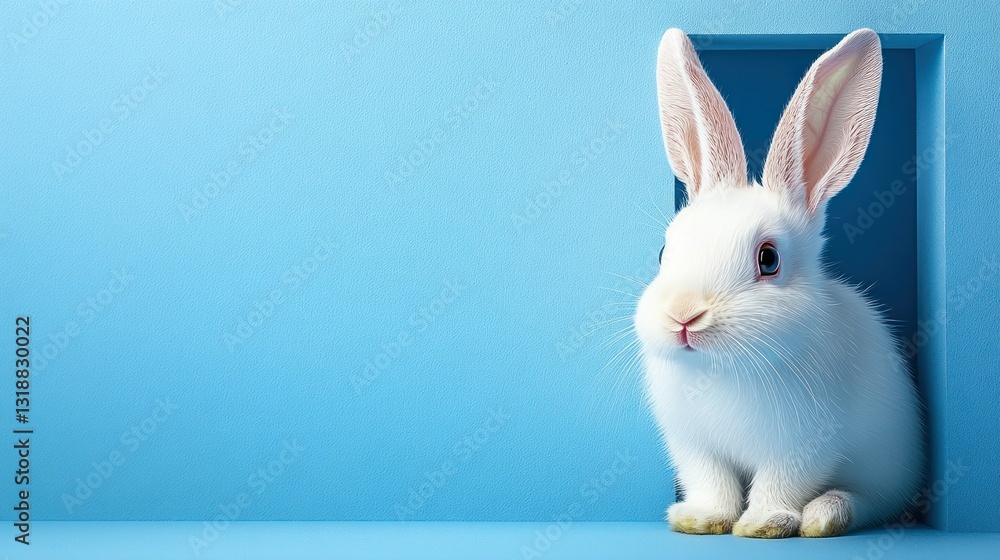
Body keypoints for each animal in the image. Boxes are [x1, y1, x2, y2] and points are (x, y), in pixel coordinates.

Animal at [634, 28, 924, 538]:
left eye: (768, 259)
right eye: (665, 253)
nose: (683, 316)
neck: (721, 369)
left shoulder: (805, 444)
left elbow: (780, 483)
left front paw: (762, 525)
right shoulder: (693, 444)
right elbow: (711, 482)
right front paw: (700, 519)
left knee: (868, 502)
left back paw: (825, 516)